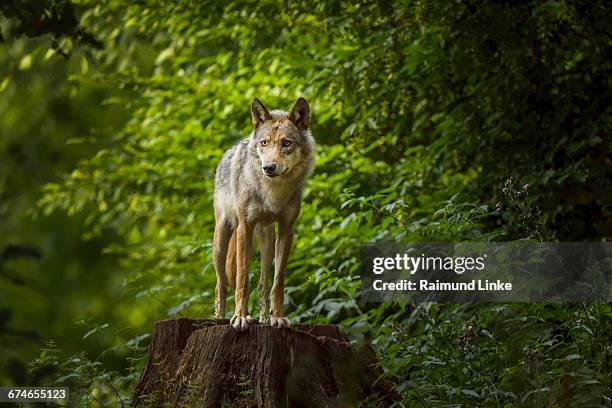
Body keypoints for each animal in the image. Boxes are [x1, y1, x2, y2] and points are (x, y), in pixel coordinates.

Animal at [212, 98, 316, 332]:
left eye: (286, 143)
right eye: (264, 143)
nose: (268, 167)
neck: (273, 192)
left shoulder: (287, 229)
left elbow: (278, 282)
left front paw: (278, 318)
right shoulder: (245, 226)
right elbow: (242, 279)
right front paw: (240, 318)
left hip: (266, 243)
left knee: (262, 283)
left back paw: (264, 320)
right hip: (223, 241)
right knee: (221, 284)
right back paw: (219, 319)